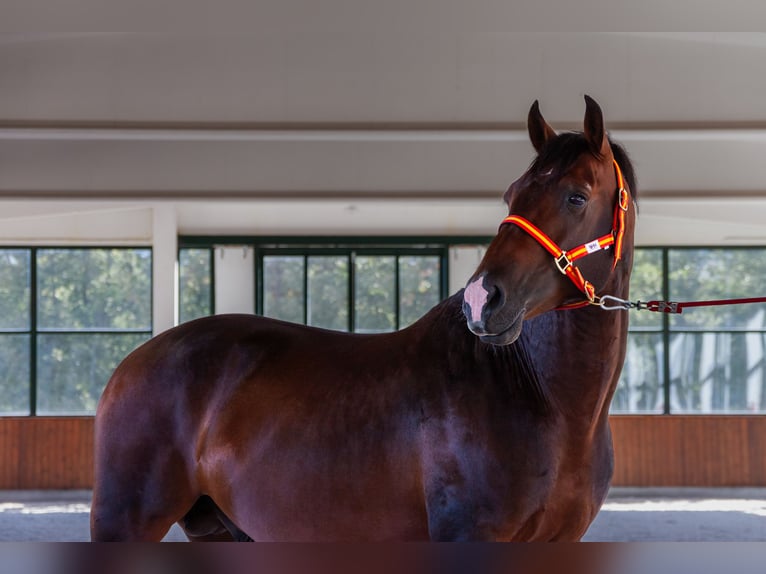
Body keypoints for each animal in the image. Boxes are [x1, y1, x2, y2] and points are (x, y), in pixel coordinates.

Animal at [90, 95, 637, 542]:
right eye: (511, 194)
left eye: (576, 196)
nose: (482, 300)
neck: (542, 397)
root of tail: (131, 364)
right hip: (126, 521)